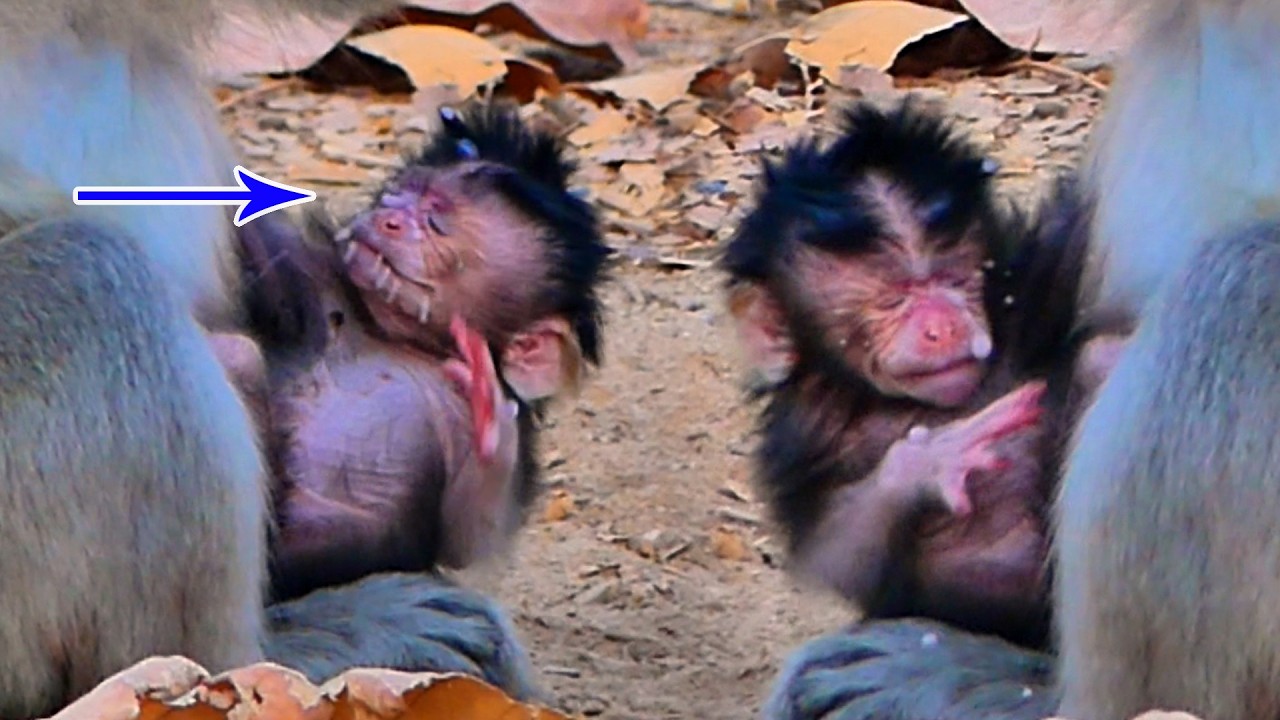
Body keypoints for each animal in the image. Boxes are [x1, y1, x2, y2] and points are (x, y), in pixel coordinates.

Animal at [220, 102, 611, 604]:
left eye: (435, 224)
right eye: (398, 197)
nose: (389, 220)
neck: (395, 337)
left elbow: (468, 536)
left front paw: (492, 415)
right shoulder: (316, 274)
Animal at [721, 99, 1104, 655]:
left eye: (956, 280)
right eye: (892, 299)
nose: (942, 326)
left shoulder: (1031, 290)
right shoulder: (800, 437)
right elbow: (838, 559)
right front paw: (928, 461)